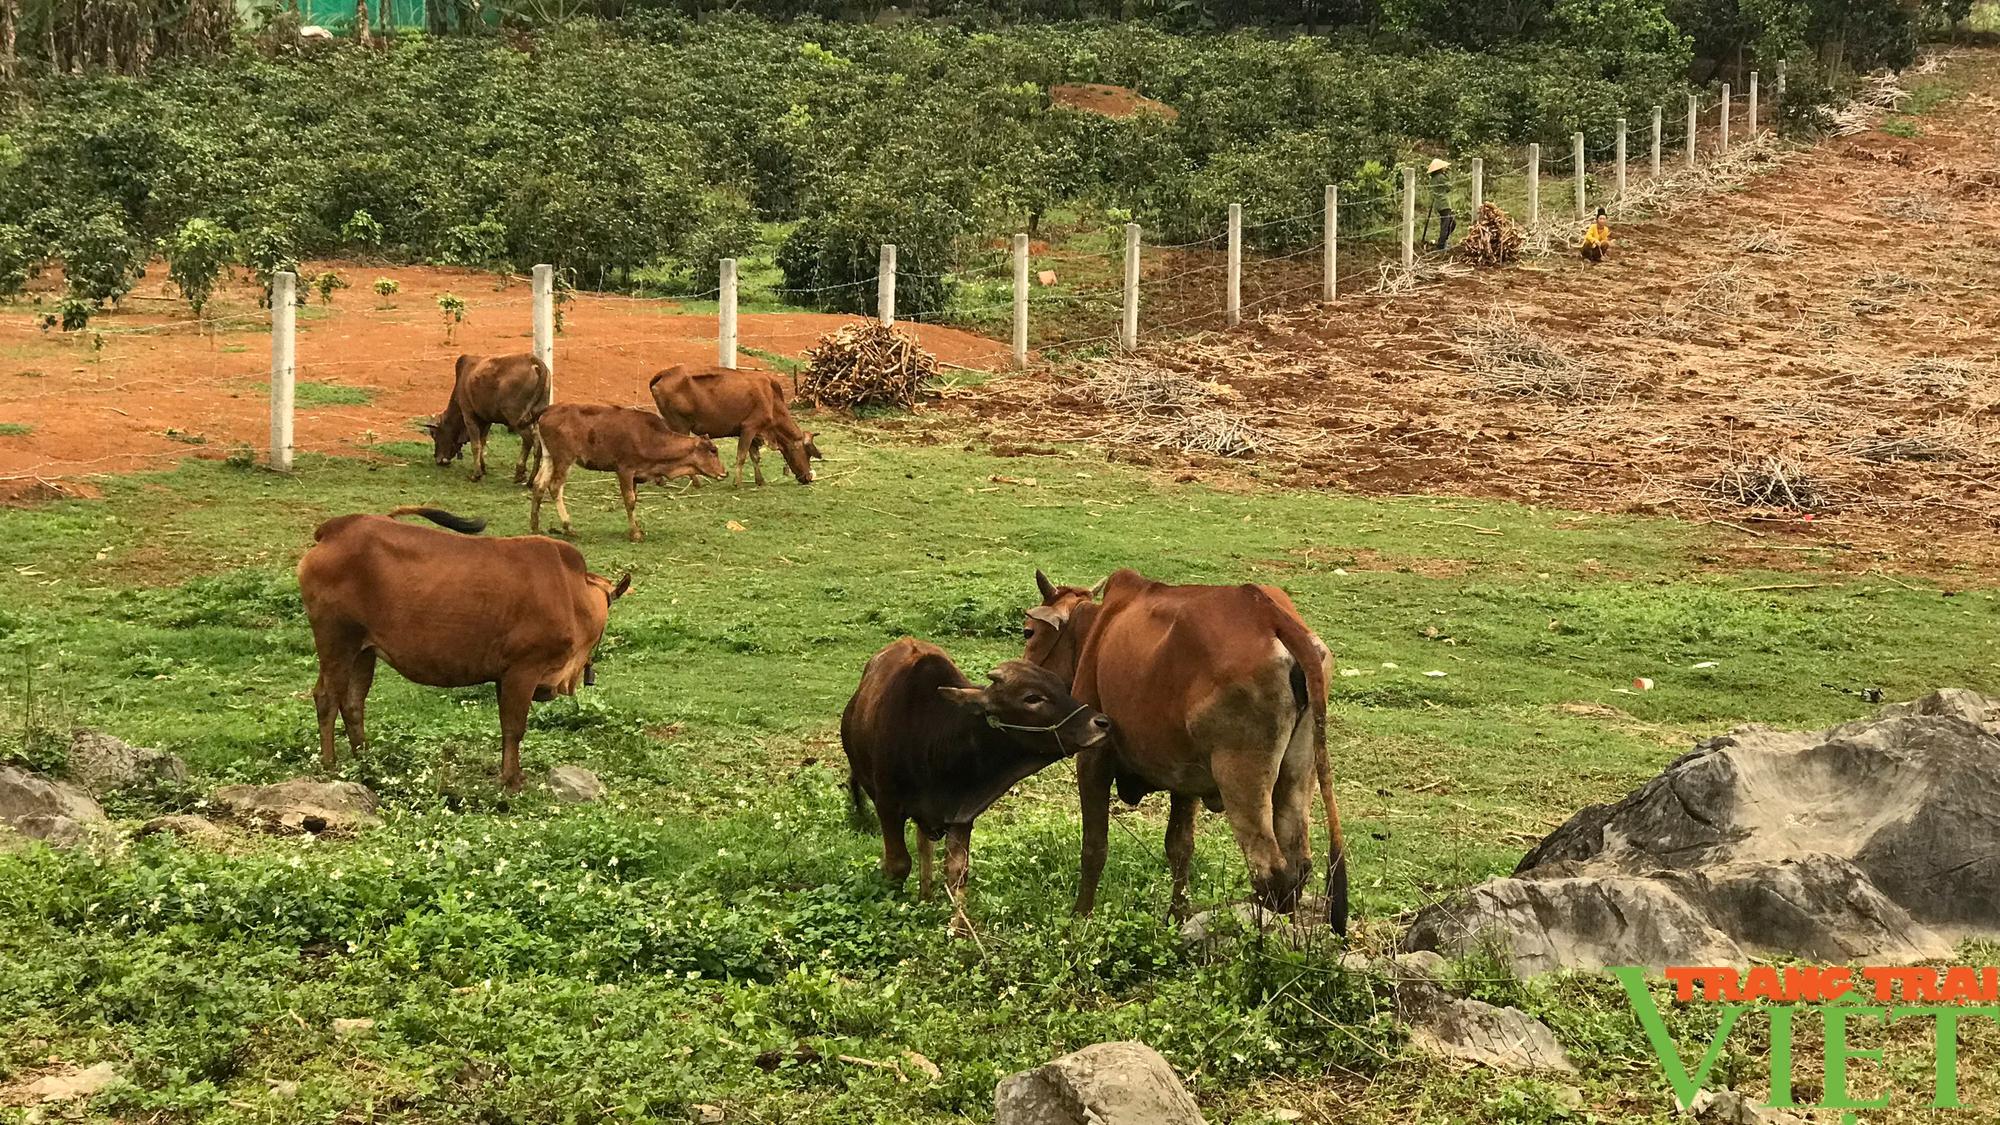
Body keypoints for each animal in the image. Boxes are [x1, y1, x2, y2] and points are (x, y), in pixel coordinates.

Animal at [292, 506, 624, 788]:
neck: (571, 592)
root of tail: (338, 527)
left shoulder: (504, 676)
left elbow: (506, 726)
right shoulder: (523, 669)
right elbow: (515, 727)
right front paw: (512, 781)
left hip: (363, 650)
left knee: (352, 702)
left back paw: (366, 761)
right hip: (337, 640)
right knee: (327, 698)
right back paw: (330, 765)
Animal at [428, 350, 556, 482]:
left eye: (434, 434)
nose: (438, 459)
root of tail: (532, 359)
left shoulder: (468, 415)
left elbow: (476, 445)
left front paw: (476, 474)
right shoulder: (486, 420)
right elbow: (482, 442)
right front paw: (483, 468)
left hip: (515, 417)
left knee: (528, 440)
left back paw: (520, 473)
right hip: (537, 415)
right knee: (538, 444)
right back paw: (531, 479)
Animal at [524, 400, 728, 540]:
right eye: (713, 451)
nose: (724, 473)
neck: (651, 437)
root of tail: (547, 410)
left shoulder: (636, 476)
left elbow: (634, 500)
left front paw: (637, 528)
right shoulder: (624, 470)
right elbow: (629, 501)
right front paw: (635, 533)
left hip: (549, 457)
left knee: (539, 485)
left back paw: (535, 526)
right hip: (564, 458)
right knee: (554, 487)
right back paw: (568, 527)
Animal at [648, 366, 820, 484]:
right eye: (808, 453)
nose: (808, 477)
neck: (771, 399)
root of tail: (664, 373)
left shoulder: (753, 433)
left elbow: (755, 457)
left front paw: (760, 481)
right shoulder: (749, 428)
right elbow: (742, 456)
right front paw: (737, 483)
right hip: (680, 425)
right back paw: (696, 482)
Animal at [1032, 568, 1344, 928]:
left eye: (1029, 632)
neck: (1098, 630)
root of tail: (1269, 614)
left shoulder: (1094, 756)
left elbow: (1094, 846)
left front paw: (1080, 917)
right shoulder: (1185, 777)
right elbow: (1179, 847)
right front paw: (1177, 916)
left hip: (1240, 775)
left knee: (1270, 873)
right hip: (1299, 770)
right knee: (1298, 866)